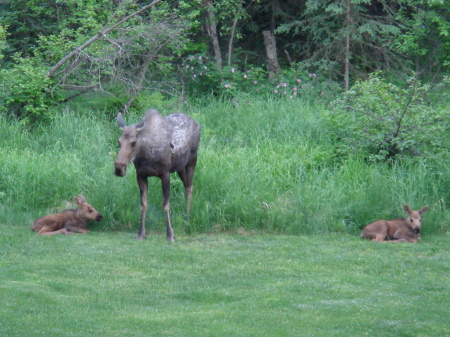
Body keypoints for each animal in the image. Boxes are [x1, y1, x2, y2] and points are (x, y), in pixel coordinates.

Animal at [114, 109, 200, 240]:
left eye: (133, 142)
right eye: (119, 141)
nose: (119, 168)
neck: (145, 154)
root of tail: (197, 124)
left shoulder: (165, 174)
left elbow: (165, 205)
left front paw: (170, 234)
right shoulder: (141, 175)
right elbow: (143, 205)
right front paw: (141, 233)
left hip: (192, 159)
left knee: (189, 187)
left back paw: (187, 220)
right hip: (180, 167)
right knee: (186, 184)